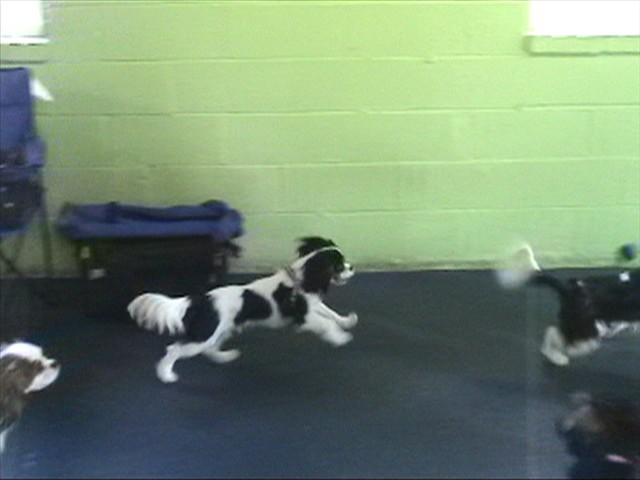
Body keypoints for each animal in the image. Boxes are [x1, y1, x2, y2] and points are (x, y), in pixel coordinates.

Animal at [128, 237, 357, 383]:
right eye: (339, 266)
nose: (352, 267)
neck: (301, 280)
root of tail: (200, 299)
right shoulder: (304, 317)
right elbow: (326, 323)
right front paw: (340, 338)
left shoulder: (312, 305)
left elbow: (330, 313)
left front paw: (346, 321)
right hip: (204, 335)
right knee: (174, 350)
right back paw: (166, 375)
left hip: (222, 330)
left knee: (210, 349)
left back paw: (225, 357)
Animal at [496, 244, 640, 366]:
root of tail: (570, 288)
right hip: (585, 330)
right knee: (562, 340)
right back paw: (558, 358)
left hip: (581, 327)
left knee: (553, 331)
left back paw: (553, 355)